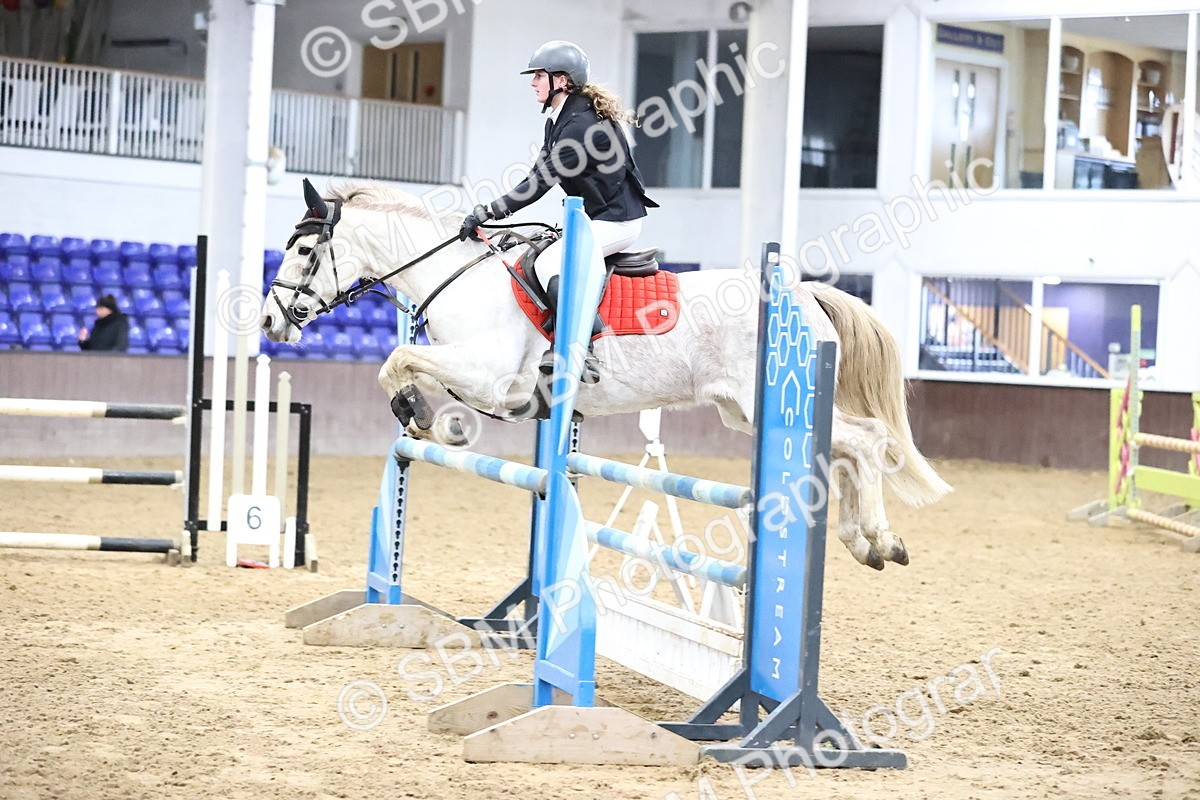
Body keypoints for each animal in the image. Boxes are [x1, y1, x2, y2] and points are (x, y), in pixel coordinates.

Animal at [259, 181, 952, 569]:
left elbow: (396, 362)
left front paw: (426, 417)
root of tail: (800, 293)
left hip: (771, 405)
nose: (269, 321)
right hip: (750, 412)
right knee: (845, 450)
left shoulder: (494, 378)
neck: (461, 278)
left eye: (303, 250)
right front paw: (426, 418)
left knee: (866, 440)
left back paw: (878, 538)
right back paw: (862, 542)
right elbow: (401, 370)